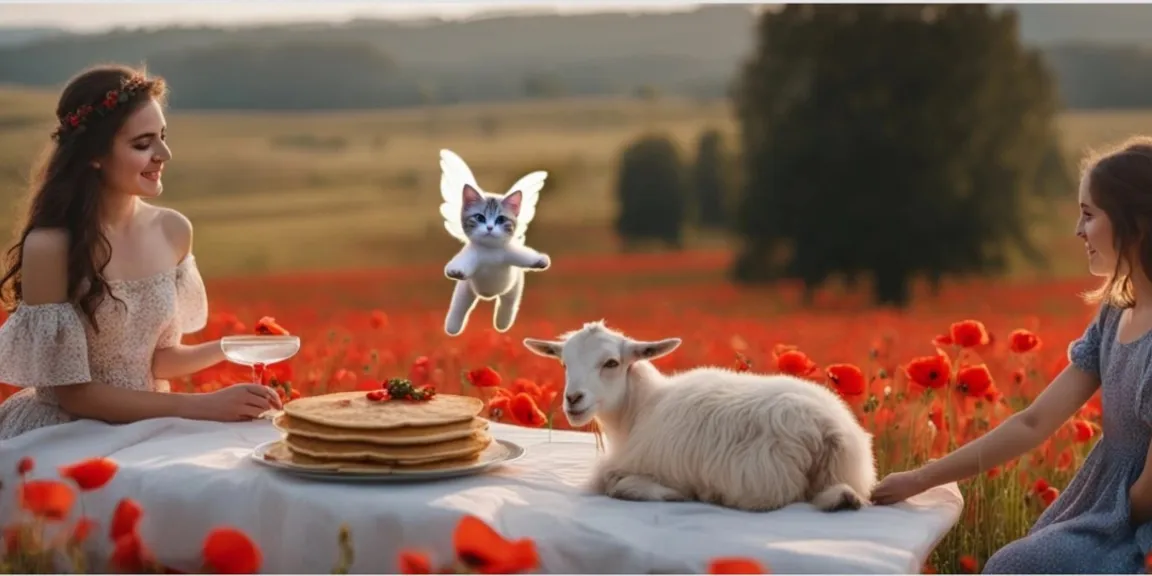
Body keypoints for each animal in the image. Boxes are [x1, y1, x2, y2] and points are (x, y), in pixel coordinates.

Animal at [527, 320, 875, 513]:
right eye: (563, 364)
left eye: (611, 363)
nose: (573, 399)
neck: (639, 407)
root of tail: (827, 429)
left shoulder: (628, 465)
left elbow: (615, 485)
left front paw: (671, 493)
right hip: (845, 474)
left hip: (760, 482)